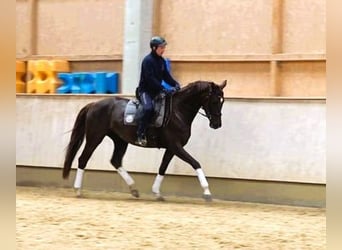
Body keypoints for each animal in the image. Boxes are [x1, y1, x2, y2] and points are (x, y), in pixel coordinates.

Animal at [62, 80, 227, 201]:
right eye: (214, 101)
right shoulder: (176, 146)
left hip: (120, 140)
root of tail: (93, 104)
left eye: (222, 101)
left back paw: (134, 189)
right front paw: (207, 192)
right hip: (95, 137)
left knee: (115, 160)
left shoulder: (171, 148)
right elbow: (195, 163)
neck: (178, 111)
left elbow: (162, 167)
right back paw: (78, 190)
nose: (217, 124)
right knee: (83, 159)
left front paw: (157, 193)